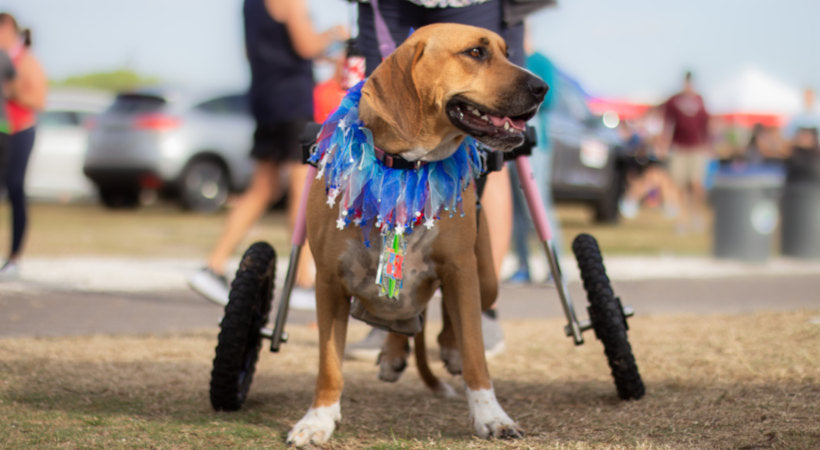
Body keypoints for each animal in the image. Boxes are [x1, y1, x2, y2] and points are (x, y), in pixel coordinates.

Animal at [286, 22, 548, 444]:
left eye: (507, 52)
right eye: (476, 52)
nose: (543, 88)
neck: (406, 168)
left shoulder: (460, 269)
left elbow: (475, 353)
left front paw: (491, 416)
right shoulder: (327, 281)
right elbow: (329, 362)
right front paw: (317, 420)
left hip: (485, 277)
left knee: (449, 320)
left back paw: (443, 347)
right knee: (403, 314)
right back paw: (393, 352)